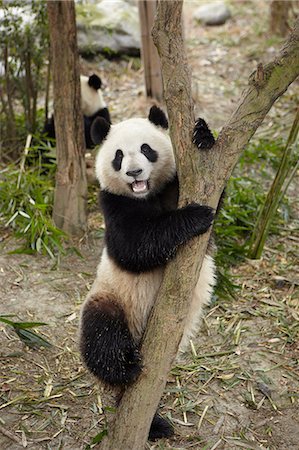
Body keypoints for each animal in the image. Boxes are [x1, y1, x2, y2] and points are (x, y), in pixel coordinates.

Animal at [78, 105, 217, 440]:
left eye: (145, 149)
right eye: (118, 156)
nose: (134, 173)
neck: (146, 195)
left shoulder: (177, 184)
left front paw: (203, 135)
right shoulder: (112, 204)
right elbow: (133, 247)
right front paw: (194, 216)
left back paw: (155, 423)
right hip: (110, 297)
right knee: (102, 336)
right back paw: (124, 369)